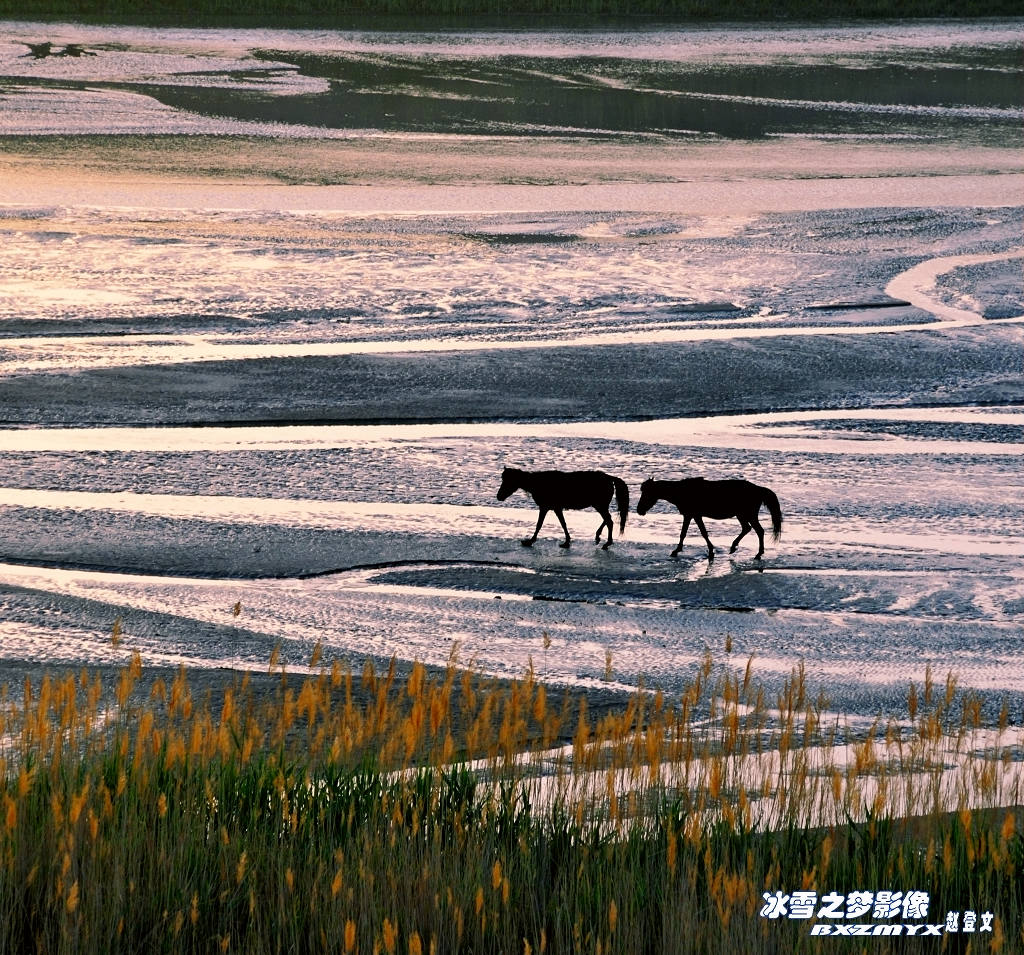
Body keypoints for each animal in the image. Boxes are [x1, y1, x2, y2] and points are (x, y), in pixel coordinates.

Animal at [497, 466, 630, 548]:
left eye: (508, 481)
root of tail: (609, 477)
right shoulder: (556, 508)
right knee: (607, 520)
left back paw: (607, 543)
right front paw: (567, 541)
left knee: (609, 521)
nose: (499, 496)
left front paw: (530, 541)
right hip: (600, 505)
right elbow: (563, 523)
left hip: (600, 505)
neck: (538, 483)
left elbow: (540, 524)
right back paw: (598, 536)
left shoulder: (545, 507)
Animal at [630, 476, 782, 560]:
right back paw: (733, 547)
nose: (639, 510)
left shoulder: (693, 514)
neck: (682, 491)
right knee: (747, 529)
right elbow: (688, 533)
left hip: (748, 514)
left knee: (759, 531)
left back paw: (758, 554)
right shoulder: (692, 515)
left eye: (647, 493)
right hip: (741, 515)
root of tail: (758, 489)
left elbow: (699, 533)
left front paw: (676, 551)